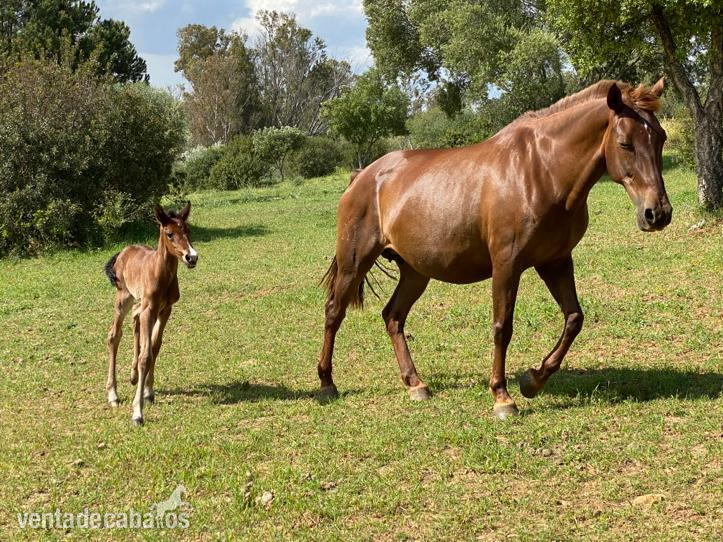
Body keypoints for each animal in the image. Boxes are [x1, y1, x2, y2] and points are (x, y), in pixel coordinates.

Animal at [104, 203, 198, 426]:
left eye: (188, 231)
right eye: (170, 234)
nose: (191, 257)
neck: (161, 275)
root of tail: (123, 251)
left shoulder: (165, 310)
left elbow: (155, 347)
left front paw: (148, 391)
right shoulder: (150, 311)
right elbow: (145, 356)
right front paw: (137, 412)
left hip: (140, 303)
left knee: (134, 318)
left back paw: (133, 376)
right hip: (123, 297)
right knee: (114, 335)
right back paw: (113, 394)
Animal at [319, 78, 671, 419]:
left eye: (661, 138)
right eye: (625, 143)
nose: (658, 213)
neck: (542, 171)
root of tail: (363, 176)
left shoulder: (556, 261)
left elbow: (574, 318)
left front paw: (533, 380)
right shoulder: (506, 265)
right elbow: (503, 327)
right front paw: (502, 397)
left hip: (415, 272)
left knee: (393, 316)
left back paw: (415, 384)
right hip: (354, 261)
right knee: (334, 312)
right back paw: (326, 384)